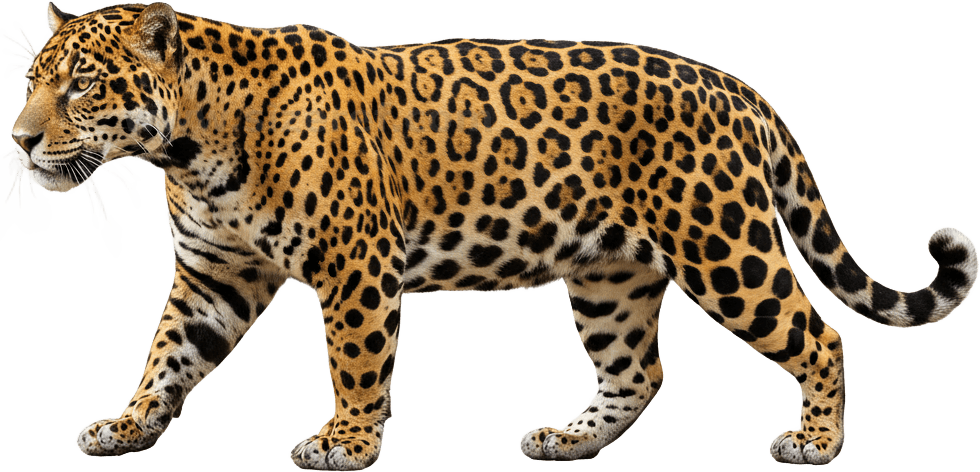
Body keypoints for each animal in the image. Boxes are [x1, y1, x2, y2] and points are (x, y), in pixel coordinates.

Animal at [9, 1, 978, 469]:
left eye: (83, 85)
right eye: (32, 81)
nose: (17, 138)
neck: (191, 141)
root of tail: (738, 87)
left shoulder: (357, 265)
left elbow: (354, 362)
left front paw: (345, 445)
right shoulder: (216, 274)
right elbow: (165, 355)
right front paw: (126, 426)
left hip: (725, 245)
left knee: (821, 336)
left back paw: (815, 443)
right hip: (609, 275)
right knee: (640, 370)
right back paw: (569, 440)